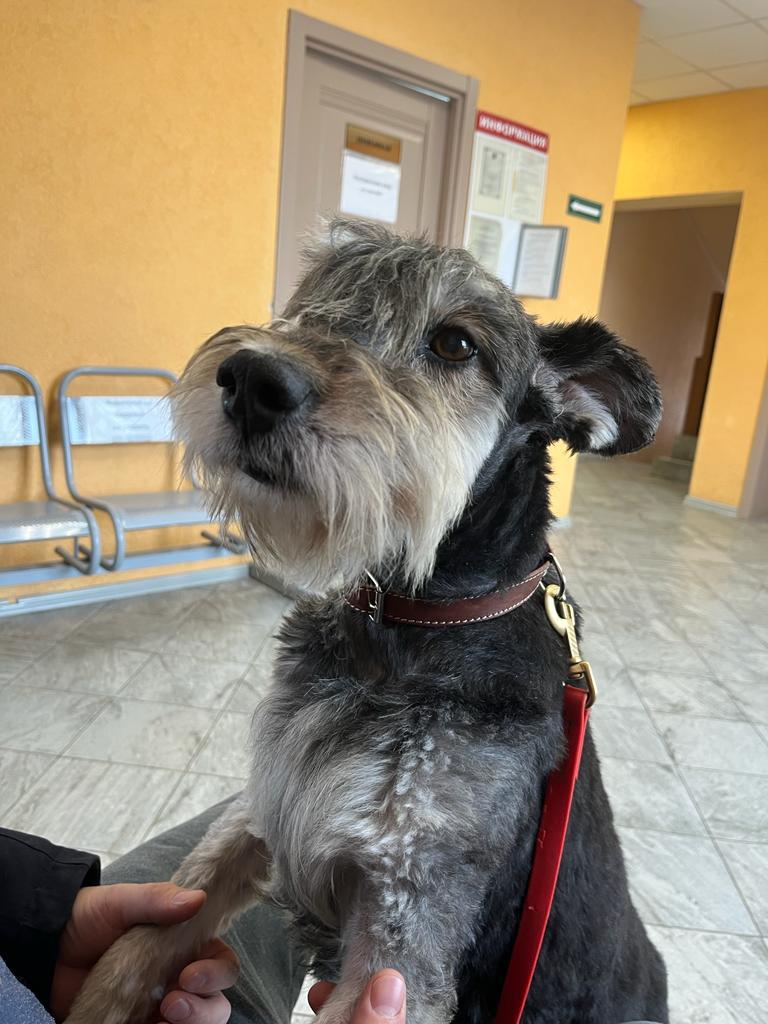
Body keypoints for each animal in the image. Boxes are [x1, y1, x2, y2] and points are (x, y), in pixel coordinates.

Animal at [66, 219, 668, 1024]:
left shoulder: (405, 907)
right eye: (313, 297)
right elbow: (147, 930)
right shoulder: (260, 809)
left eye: (455, 344)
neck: (408, 625)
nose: (252, 381)